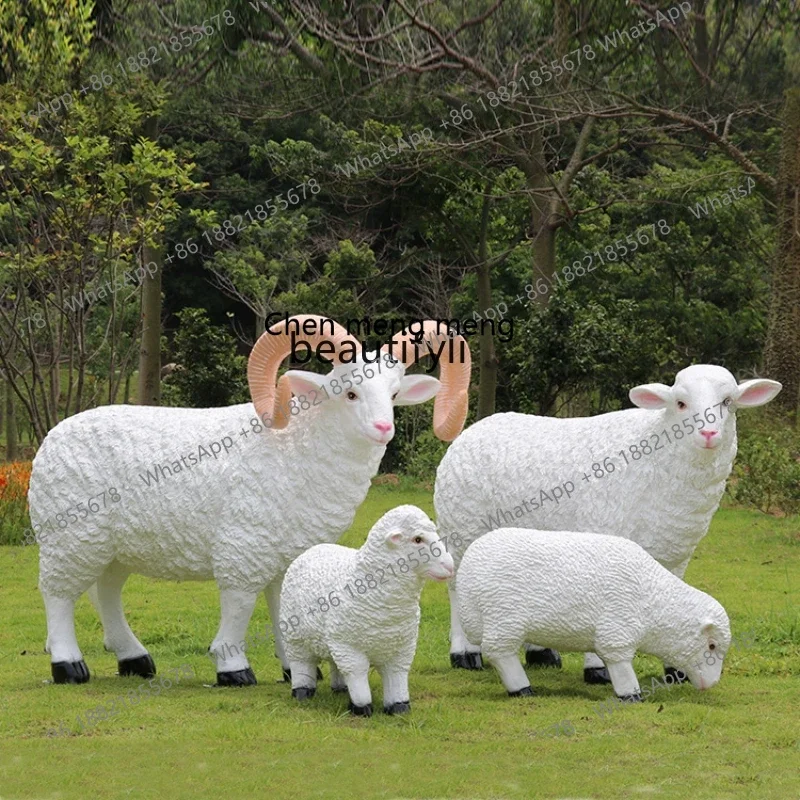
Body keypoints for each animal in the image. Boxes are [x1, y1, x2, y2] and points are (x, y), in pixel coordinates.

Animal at [28, 315, 470, 685]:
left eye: (394, 393)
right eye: (349, 392)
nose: (383, 428)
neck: (296, 447)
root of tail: (53, 437)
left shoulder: (289, 553)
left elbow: (287, 606)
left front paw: (296, 669)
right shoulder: (243, 545)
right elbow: (239, 606)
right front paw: (233, 668)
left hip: (113, 545)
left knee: (104, 592)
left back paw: (134, 659)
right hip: (71, 535)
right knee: (57, 594)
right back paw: (68, 665)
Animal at [280, 504, 455, 716]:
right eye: (418, 539)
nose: (450, 566)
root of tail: (315, 548)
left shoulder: (401, 648)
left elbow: (397, 674)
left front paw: (399, 707)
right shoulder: (349, 648)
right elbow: (357, 672)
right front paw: (361, 707)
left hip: (331, 639)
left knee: (335, 664)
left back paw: (341, 688)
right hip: (296, 638)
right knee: (301, 663)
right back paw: (303, 692)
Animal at [434, 364, 780, 679]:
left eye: (728, 402)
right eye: (681, 403)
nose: (708, 434)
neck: (656, 457)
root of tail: (474, 429)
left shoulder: (676, 553)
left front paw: (676, 670)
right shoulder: (604, 536)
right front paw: (598, 669)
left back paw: (541, 654)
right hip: (461, 526)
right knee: (456, 586)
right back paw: (465, 653)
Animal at [456, 527, 731, 701]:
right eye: (711, 645)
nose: (713, 684)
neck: (654, 602)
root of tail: (468, 566)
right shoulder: (617, 631)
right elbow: (620, 664)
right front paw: (631, 694)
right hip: (503, 618)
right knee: (499, 653)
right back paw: (522, 689)